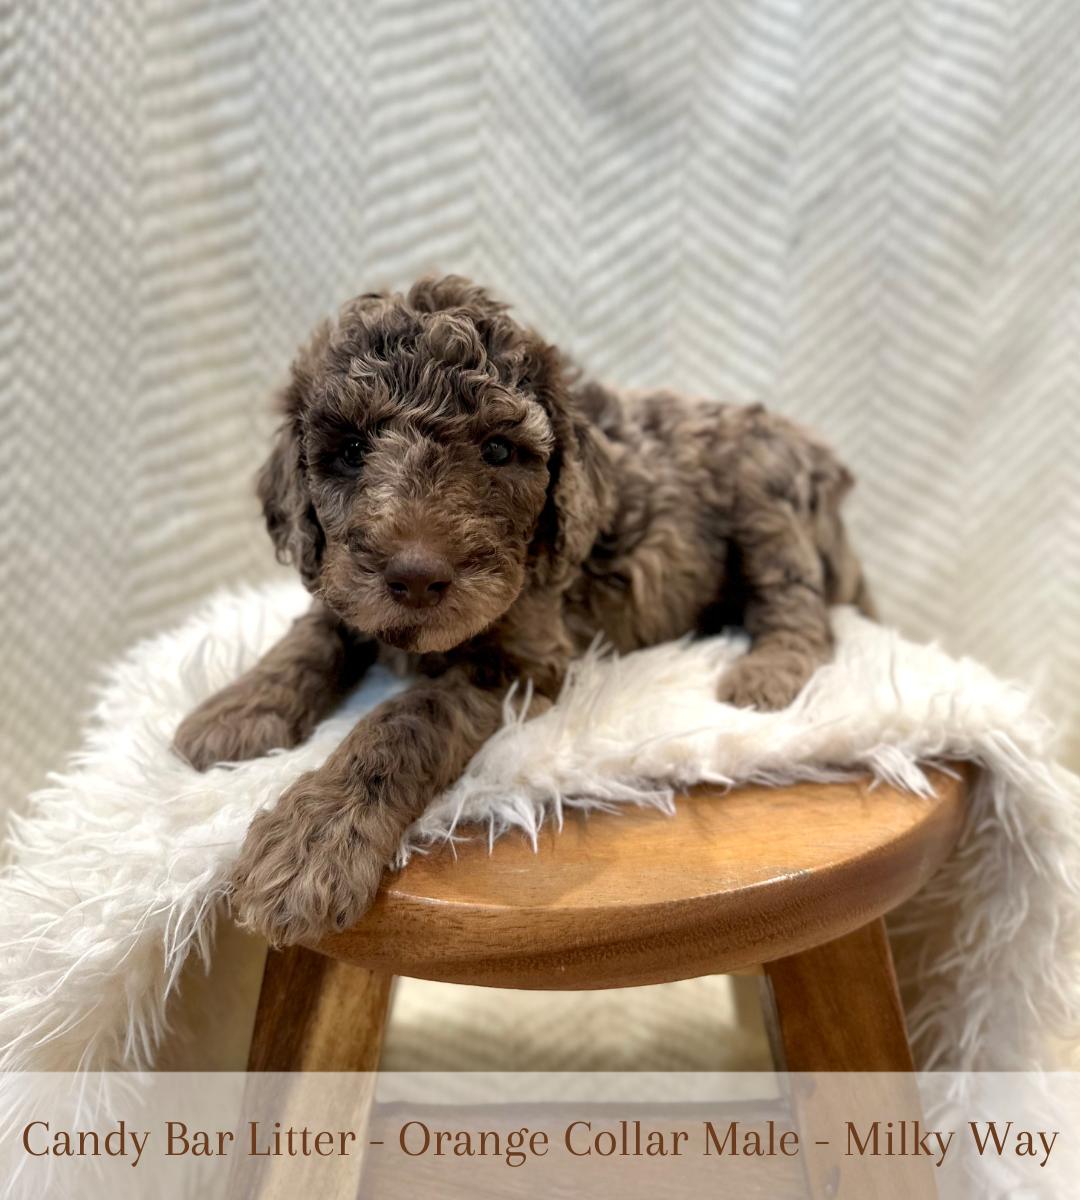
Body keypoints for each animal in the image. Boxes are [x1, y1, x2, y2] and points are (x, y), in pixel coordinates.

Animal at [173, 275, 871, 946]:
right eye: (348, 451)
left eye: (499, 452)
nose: (417, 577)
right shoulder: (343, 585)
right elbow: (309, 638)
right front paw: (236, 711)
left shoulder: (522, 658)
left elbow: (406, 718)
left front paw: (316, 837)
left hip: (765, 501)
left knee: (798, 602)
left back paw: (768, 672)